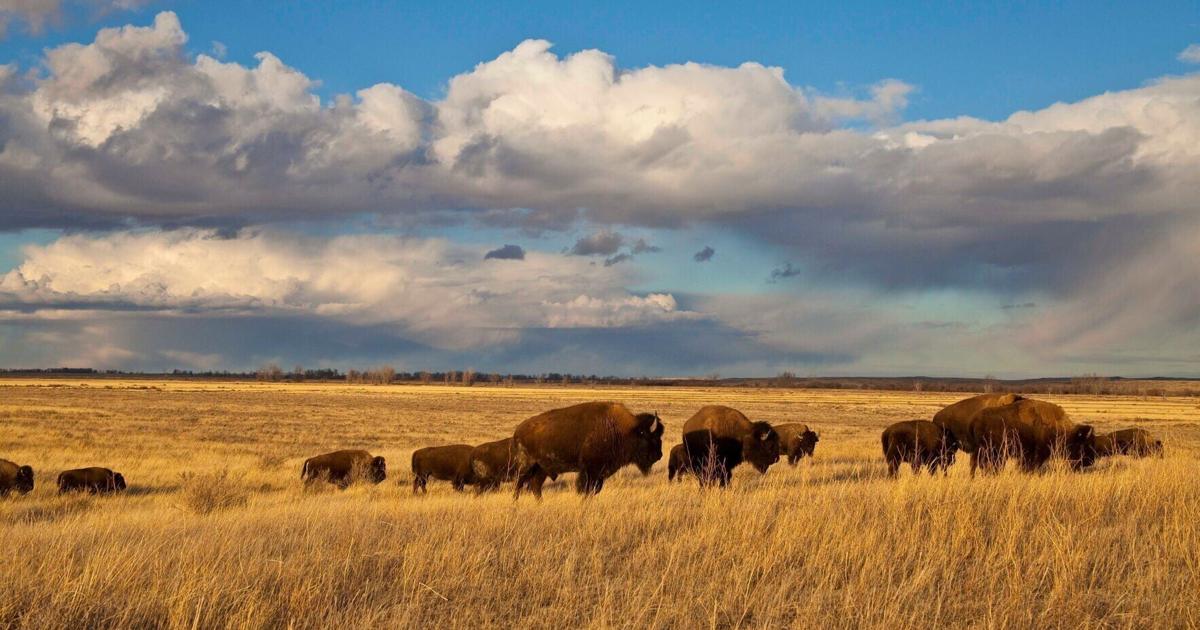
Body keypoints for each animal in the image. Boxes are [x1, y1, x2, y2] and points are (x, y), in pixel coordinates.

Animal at [513, 401, 663, 498]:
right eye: (647, 435)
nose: (659, 455)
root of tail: (518, 430)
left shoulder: (599, 473)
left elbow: (594, 490)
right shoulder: (590, 471)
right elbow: (585, 489)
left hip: (541, 469)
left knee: (535, 486)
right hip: (526, 466)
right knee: (519, 484)